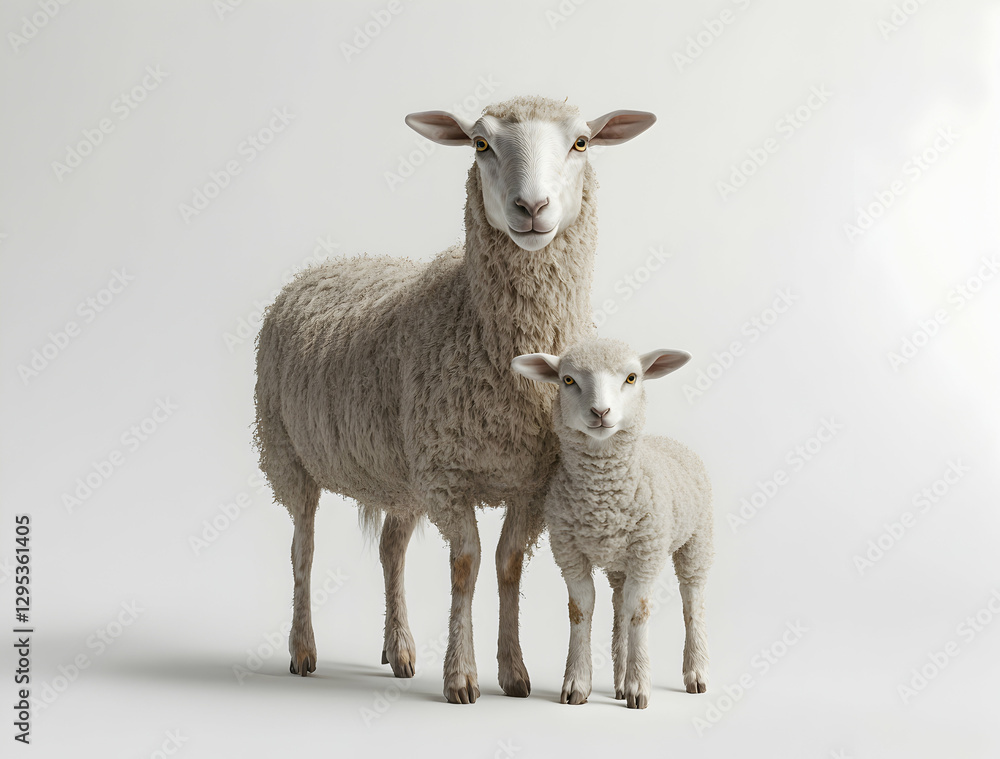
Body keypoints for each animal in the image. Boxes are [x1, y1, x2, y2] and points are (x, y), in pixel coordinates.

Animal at [253, 96, 656, 704]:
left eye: (581, 142)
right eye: (480, 143)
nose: (531, 207)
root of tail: (324, 266)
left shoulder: (528, 484)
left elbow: (508, 565)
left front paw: (513, 671)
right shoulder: (446, 476)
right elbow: (465, 565)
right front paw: (461, 676)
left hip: (398, 475)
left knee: (390, 550)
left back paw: (398, 649)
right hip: (287, 455)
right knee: (303, 550)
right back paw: (303, 649)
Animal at [511, 338, 713, 709]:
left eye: (632, 378)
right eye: (568, 380)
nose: (600, 412)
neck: (603, 501)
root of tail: (670, 441)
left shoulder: (646, 553)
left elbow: (639, 612)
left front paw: (638, 686)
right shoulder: (569, 553)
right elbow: (582, 609)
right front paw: (578, 683)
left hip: (697, 541)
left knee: (692, 600)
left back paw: (696, 673)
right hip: (619, 562)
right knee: (619, 603)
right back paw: (619, 679)